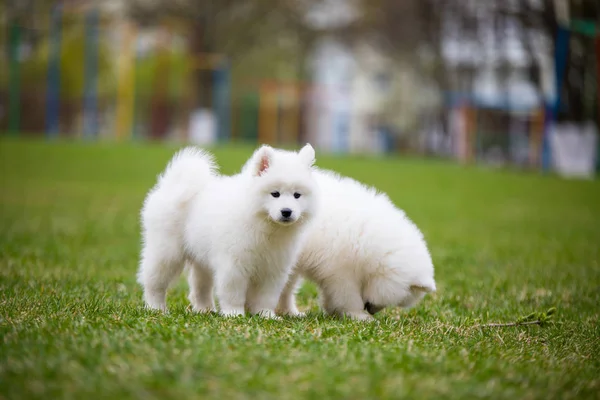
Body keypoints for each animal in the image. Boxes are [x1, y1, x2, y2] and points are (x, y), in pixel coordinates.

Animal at [138, 144, 318, 318]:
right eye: (275, 194)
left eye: (297, 195)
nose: (287, 211)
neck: (266, 227)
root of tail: (170, 185)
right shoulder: (234, 265)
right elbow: (233, 293)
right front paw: (234, 314)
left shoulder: (273, 269)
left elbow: (266, 297)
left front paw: (266, 315)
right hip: (166, 253)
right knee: (154, 282)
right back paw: (156, 308)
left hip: (201, 259)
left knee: (200, 287)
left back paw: (205, 310)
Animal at [276, 167, 436, 320]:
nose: (372, 310)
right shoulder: (341, 269)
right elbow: (347, 295)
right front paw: (359, 315)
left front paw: (333, 310)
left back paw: (289, 312)